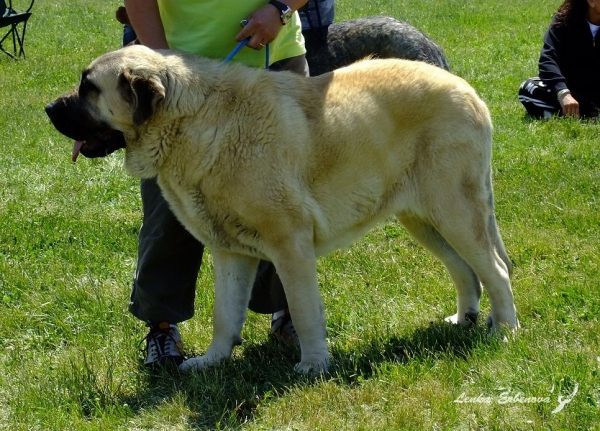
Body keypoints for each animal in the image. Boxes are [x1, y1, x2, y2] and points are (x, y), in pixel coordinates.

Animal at [44, 44, 516, 374]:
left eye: (89, 87)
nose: (48, 107)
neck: (189, 122)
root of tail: (466, 88)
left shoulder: (290, 245)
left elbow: (304, 310)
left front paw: (313, 365)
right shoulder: (230, 253)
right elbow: (224, 314)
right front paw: (213, 360)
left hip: (455, 209)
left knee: (495, 269)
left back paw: (505, 332)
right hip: (422, 218)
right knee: (464, 269)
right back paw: (465, 317)